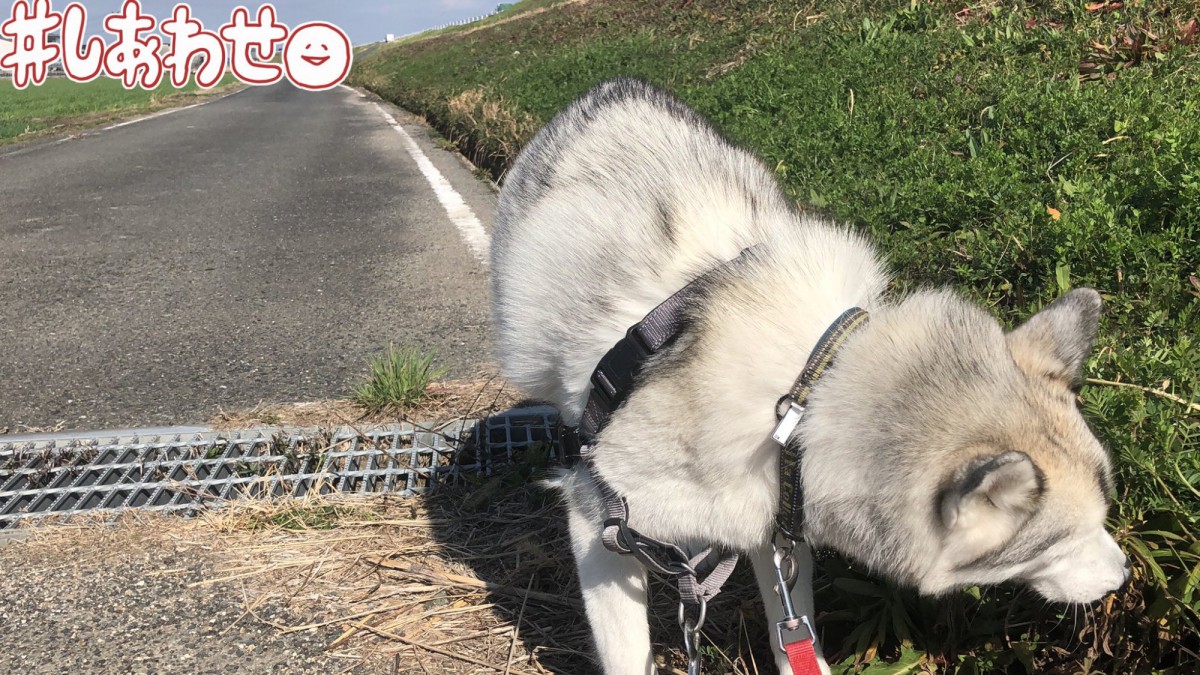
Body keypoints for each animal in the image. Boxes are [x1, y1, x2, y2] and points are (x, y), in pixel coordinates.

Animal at [487, 79, 1123, 672]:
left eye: (1105, 515)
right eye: (1059, 542)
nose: (1121, 576)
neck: (804, 394)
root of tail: (613, 87)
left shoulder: (777, 524)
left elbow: (791, 631)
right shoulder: (598, 520)